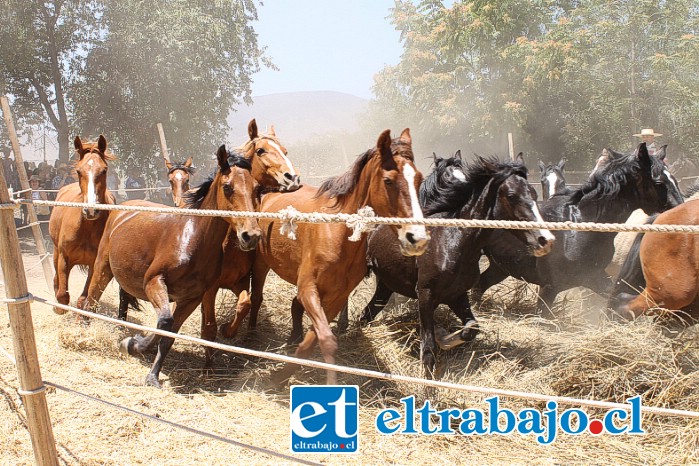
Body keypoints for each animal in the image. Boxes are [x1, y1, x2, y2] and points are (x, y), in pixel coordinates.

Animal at [48, 137, 116, 314]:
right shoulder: (64, 258)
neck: (86, 228)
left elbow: (83, 299)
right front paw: (59, 309)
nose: (91, 210)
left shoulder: (94, 265)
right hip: (56, 252)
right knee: (56, 280)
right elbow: (62, 295)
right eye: (79, 171)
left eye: (104, 170)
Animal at [85, 151, 262, 388]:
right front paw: (134, 345)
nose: (251, 235)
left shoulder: (191, 298)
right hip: (102, 268)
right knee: (91, 300)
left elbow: (170, 332)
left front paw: (152, 374)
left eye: (257, 188)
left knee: (122, 302)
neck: (193, 239)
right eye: (227, 186)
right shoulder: (154, 282)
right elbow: (165, 322)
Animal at [238, 129, 430, 384]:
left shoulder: (337, 296)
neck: (337, 233)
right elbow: (327, 341)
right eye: (388, 180)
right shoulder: (309, 288)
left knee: (293, 307)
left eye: (419, 179)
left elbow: (312, 341)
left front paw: (282, 376)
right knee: (257, 297)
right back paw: (250, 335)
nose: (416, 237)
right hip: (261, 265)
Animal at [360, 155, 552, 374]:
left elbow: (471, 328)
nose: (544, 240)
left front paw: (443, 336)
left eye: (535, 194)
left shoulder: (456, 295)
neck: (453, 241)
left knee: (367, 313)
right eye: (511, 195)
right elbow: (428, 348)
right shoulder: (425, 294)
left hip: (386, 284)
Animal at [476, 142, 684, 318]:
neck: (580, 226)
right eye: (659, 182)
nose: (681, 211)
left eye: (675, 179)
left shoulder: (594, 277)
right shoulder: (549, 287)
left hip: (500, 266)